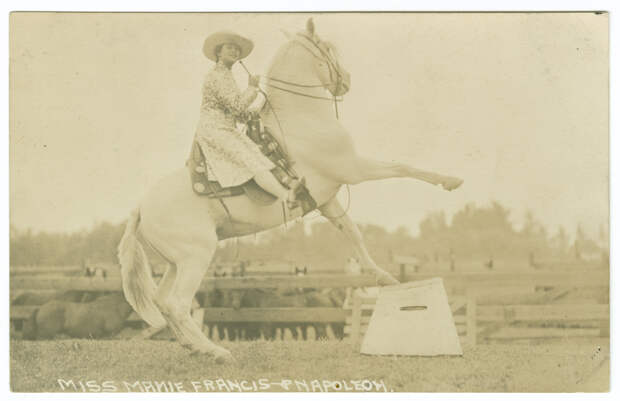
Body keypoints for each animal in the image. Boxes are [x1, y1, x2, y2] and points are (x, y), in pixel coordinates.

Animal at [118, 19, 462, 362]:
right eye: (329, 48)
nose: (346, 80)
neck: (302, 120)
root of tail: (141, 208)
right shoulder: (354, 169)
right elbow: (402, 167)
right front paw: (450, 180)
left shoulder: (327, 199)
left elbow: (352, 233)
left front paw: (383, 276)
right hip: (196, 256)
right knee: (178, 304)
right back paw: (216, 351)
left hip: (176, 262)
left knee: (163, 302)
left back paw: (194, 346)